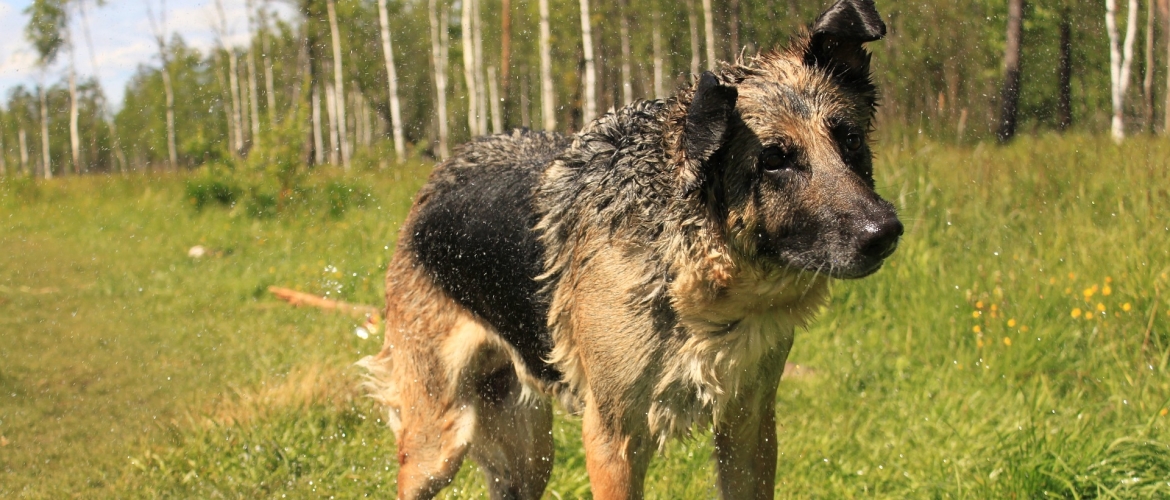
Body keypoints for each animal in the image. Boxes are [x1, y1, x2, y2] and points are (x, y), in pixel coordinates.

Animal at [360, 1, 898, 498]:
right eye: (773, 161)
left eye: (850, 140)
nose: (886, 231)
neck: (688, 263)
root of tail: (438, 178)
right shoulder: (613, 439)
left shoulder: (749, 428)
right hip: (438, 442)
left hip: (527, 450)